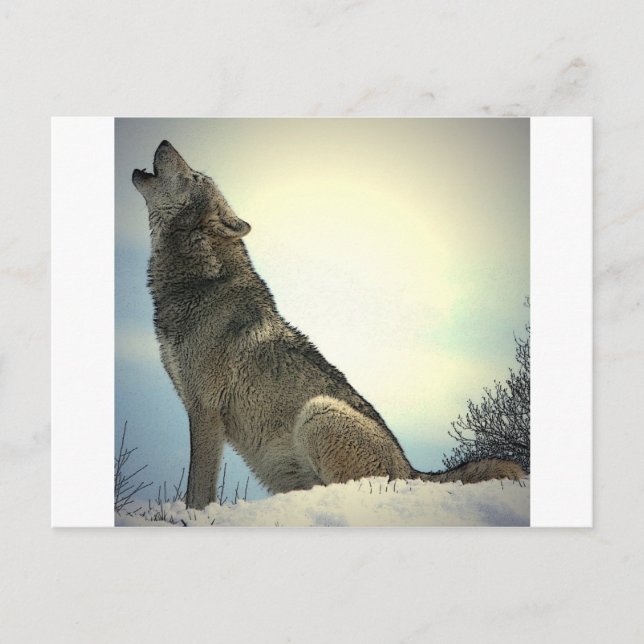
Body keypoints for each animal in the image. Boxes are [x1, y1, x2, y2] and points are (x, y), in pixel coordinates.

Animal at [132, 140, 525, 510]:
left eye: (195, 176)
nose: (164, 141)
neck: (200, 282)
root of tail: (412, 471)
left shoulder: (205, 410)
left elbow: (197, 490)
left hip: (317, 412)